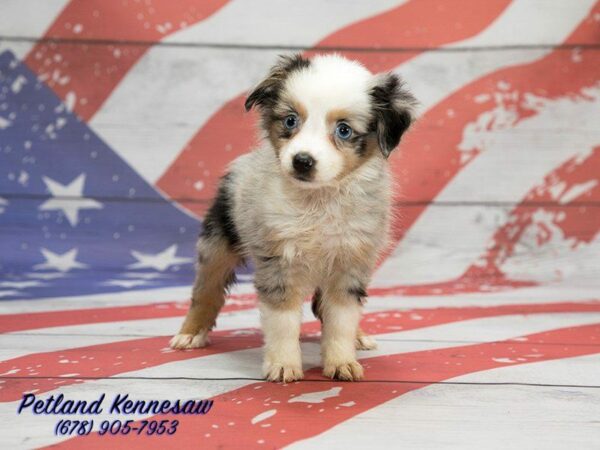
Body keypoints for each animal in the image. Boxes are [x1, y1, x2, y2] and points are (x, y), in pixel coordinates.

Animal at [170, 54, 418, 382]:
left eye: (343, 130)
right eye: (290, 120)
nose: (302, 161)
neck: (319, 200)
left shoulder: (350, 262)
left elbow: (341, 318)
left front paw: (341, 362)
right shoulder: (278, 261)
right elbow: (282, 322)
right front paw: (283, 365)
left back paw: (359, 337)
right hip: (217, 242)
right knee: (206, 290)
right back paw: (190, 333)